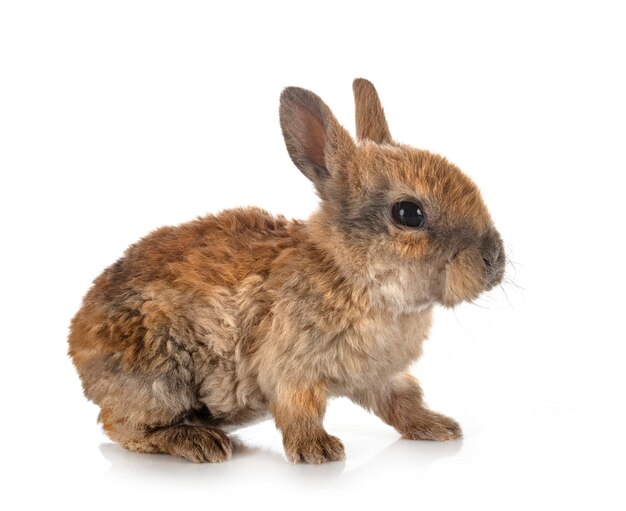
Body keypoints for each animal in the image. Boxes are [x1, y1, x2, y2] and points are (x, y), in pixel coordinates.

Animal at [68, 79, 504, 464]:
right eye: (409, 214)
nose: (494, 260)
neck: (350, 274)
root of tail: (77, 342)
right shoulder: (292, 372)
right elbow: (301, 411)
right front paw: (319, 452)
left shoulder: (380, 376)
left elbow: (403, 401)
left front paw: (439, 427)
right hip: (160, 378)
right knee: (125, 428)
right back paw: (200, 442)